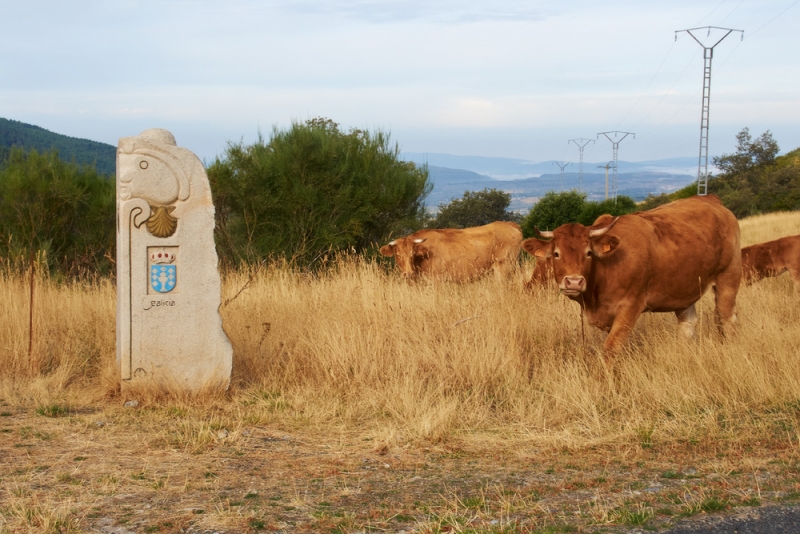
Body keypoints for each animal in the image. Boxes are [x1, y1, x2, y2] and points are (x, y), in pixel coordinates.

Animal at [382, 221, 524, 284]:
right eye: (398, 254)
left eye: (413, 254)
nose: (408, 274)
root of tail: (510, 224)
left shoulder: (437, 281)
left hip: (504, 268)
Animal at [520, 195, 740, 362]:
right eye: (556, 254)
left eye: (588, 252)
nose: (574, 282)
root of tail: (710, 200)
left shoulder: (630, 307)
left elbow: (611, 349)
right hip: (685, 289)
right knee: (688, 323)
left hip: (728, 278)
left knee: (727, 318)